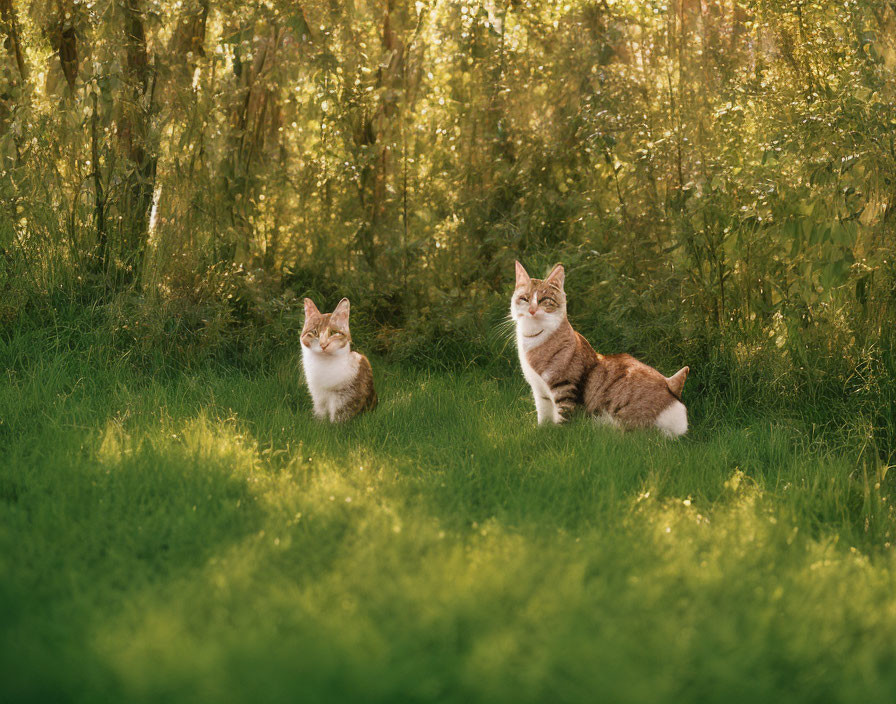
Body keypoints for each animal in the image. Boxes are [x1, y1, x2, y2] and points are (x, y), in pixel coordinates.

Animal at [512, 262, 692, 438]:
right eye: (524, 299)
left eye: (544, 300)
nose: (532, 310)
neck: (533, 337)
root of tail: (671, 387)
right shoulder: (539, 390)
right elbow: (544, 415)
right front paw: (542, 430)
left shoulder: (565, 387)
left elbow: (563, 419)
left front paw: (557, 432)